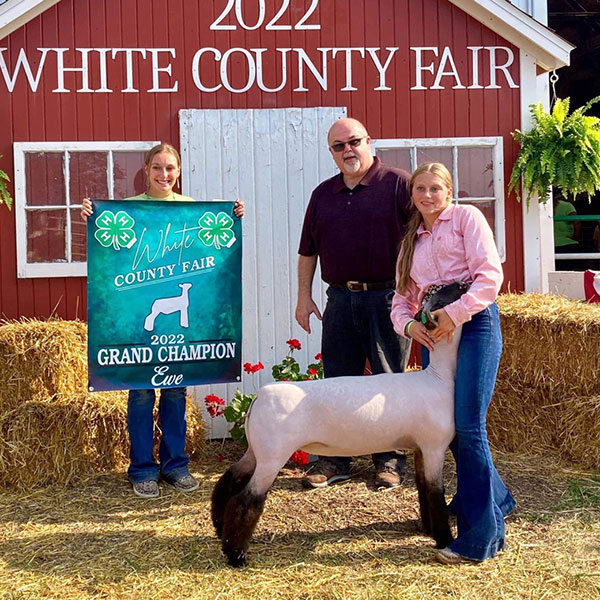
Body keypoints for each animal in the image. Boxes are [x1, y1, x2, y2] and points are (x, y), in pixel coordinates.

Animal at [213, 286, 466, 568]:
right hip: (273, 456)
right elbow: (435, 494)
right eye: (448, 295)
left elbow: (423, 489)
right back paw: (235, 554)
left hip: (257, 450)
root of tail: (258, 399)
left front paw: (428, 530)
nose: (465, 284)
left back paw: (219, 527)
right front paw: (444, 539)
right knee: (247, 500)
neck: (438, 378)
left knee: (229, 480)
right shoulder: (434, 446)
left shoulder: (421, 447)